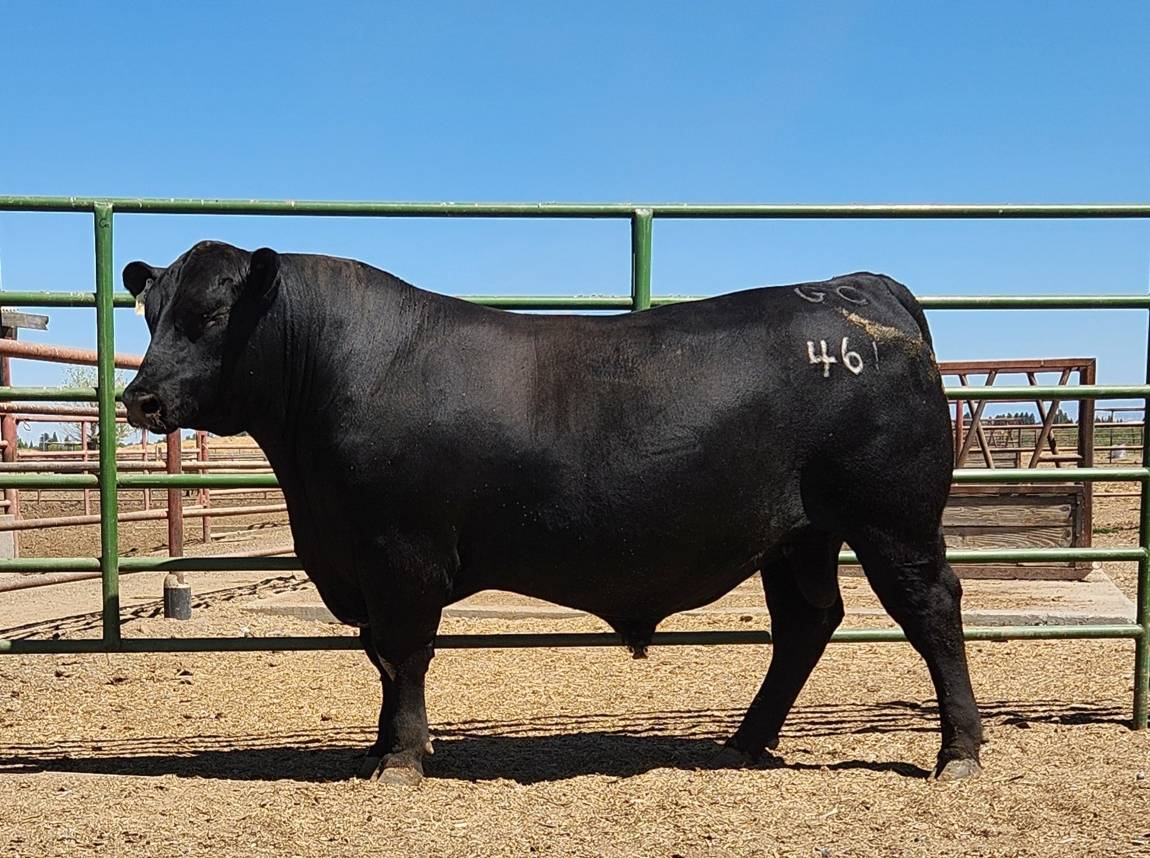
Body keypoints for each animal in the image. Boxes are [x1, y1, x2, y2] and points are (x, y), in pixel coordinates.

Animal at [122, 241, 983, 785]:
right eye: (151, 314)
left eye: (211, 315)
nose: (142, 397)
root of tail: (857, 287)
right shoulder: (361, 556)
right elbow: (380, 659)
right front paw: (375, 750)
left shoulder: (400, 551)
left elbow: (404, 653)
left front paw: (401, 759)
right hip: (799, 536)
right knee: (805, 623)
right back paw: (745, 742)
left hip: (892, 521)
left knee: (931, 611)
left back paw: (959, 752)